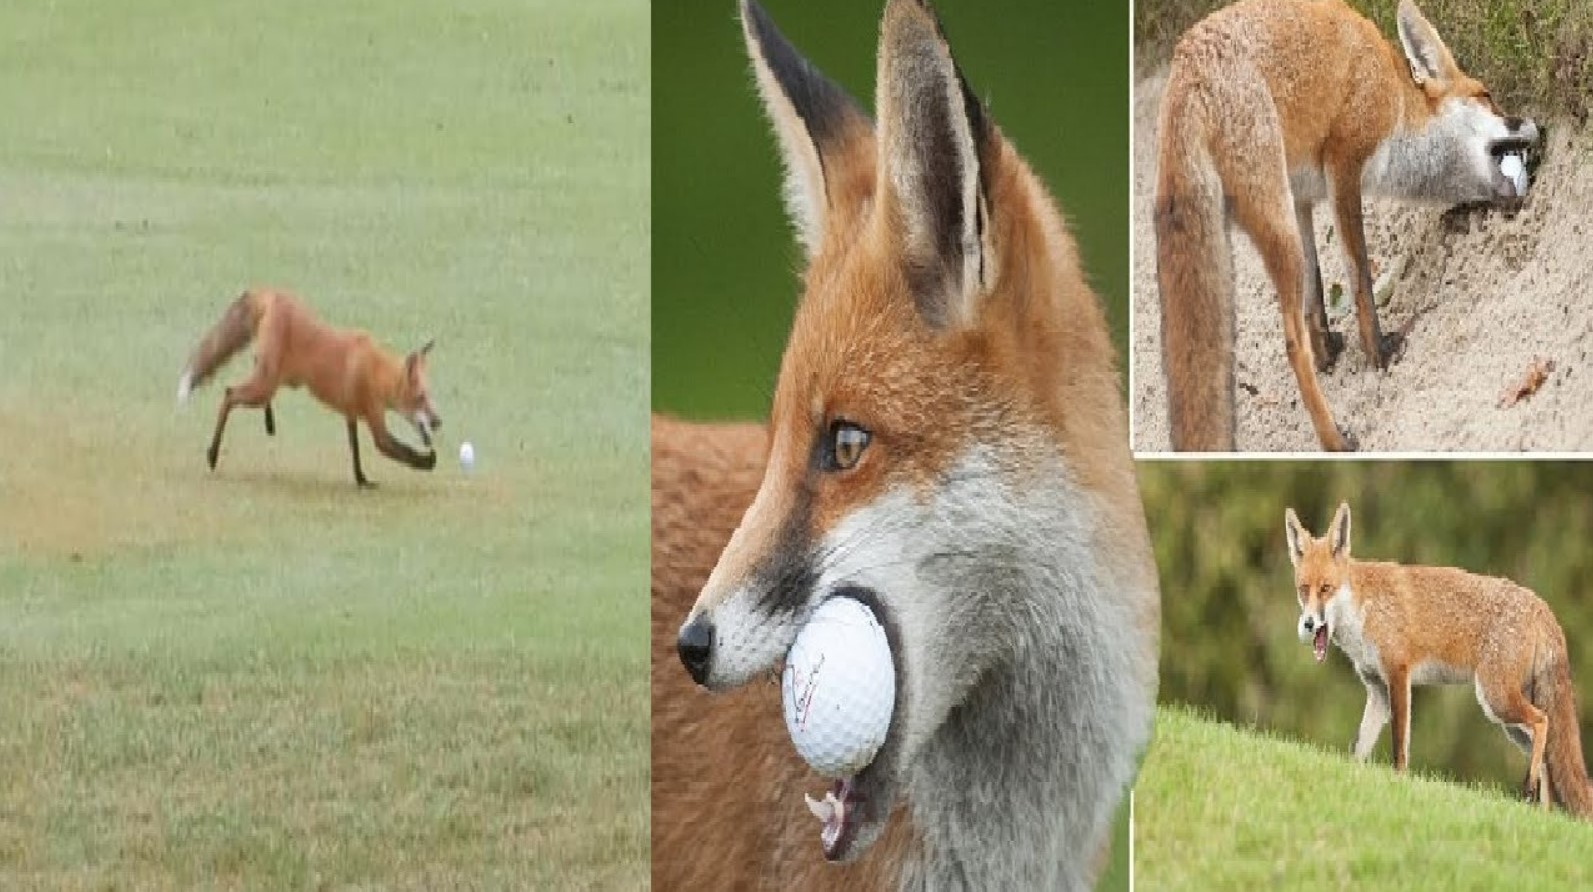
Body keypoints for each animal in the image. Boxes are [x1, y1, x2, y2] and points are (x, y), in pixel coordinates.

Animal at [177, 288, 440, 487]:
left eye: (430, 396)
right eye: (420, 397)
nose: (438, 421)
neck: (377, 371)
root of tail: (272, 292)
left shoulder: (351, 415)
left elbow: (354, 452)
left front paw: (362, 480)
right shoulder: (376, 424)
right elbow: (400, 450)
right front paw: (428, 461)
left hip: (271, 378)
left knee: (250, 388)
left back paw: (269, 422)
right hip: (264, 385)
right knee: (230, 393)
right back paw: (213, 453)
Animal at [1155, 0, 1541, 451]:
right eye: (1488, 97)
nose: (1536, 124)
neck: (1394, 93)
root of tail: (1185, 71)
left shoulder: (1302, 199)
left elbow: (1316, 294)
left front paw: (1329, 352)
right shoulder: (1344, 164)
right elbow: (1360, 278)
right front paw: (1379, 352)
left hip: (1276, 224)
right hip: (1278, 226)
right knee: (1291, 344)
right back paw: (1334, 439)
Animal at [1286, 502, 1593, 818]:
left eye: (1326, 588)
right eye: (1303, 589)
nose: (1308, 624)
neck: (1364, 608)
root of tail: (1541, 605)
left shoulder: (1398, 674)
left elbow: (1399, 745)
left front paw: (1399, 783)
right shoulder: (1377, 690)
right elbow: (1358, 749)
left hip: (1496, 698)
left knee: (1543, 722)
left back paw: (1531, 790)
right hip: (1508, 720)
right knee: (1545, 759)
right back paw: (1542, 815)